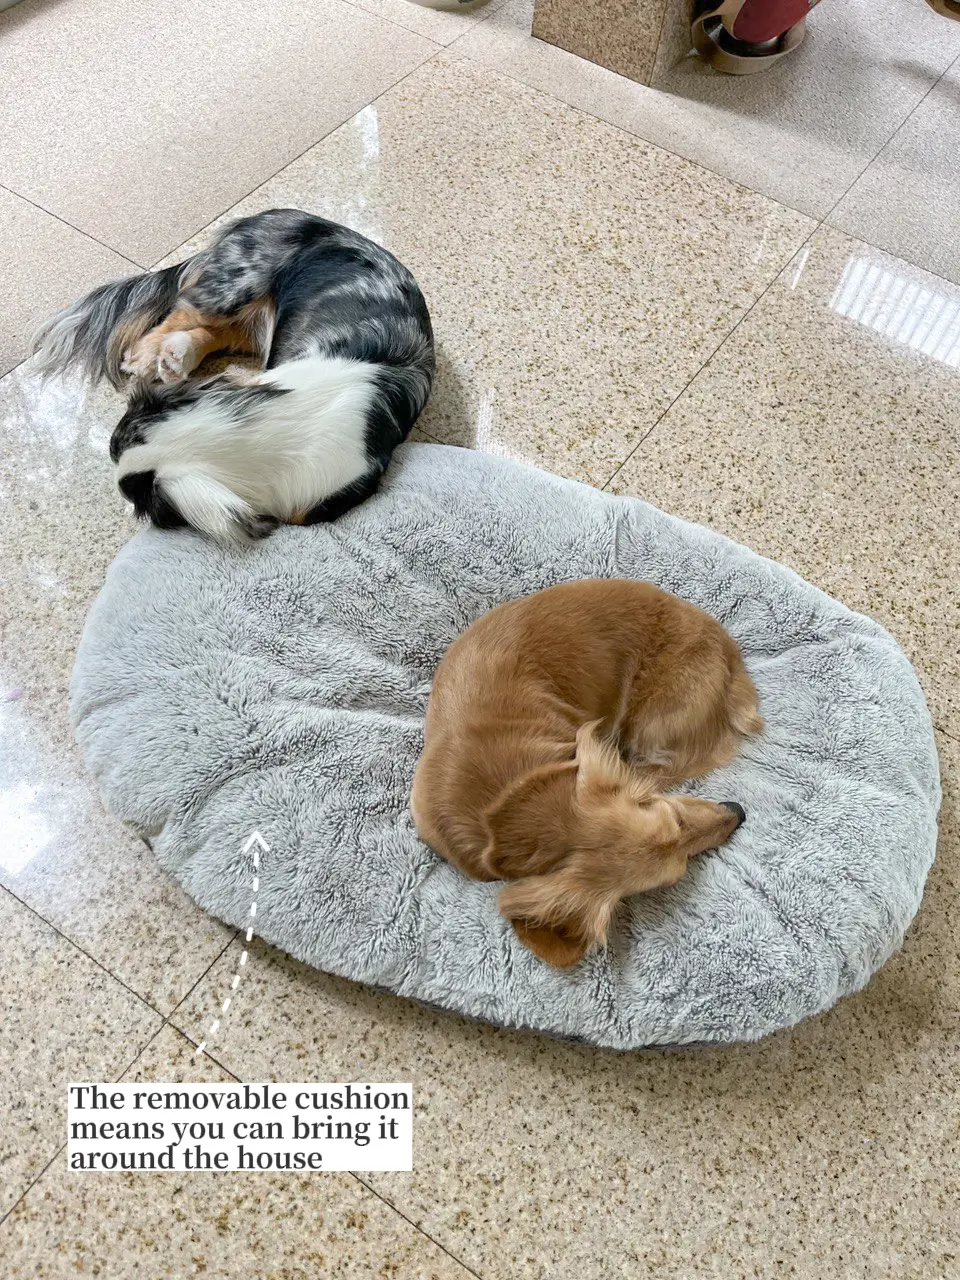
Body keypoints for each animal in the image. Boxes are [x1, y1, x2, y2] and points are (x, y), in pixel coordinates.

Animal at [32, 208, 435, 545]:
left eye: (137, 497)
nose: (120, 496)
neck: (283, 420)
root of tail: (260, 216)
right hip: (232, 288)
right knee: (182, 313)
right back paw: (150, 356)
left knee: (212, 332)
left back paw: (175, 356)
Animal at [414, 576, 768, 962]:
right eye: (676, 873)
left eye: (670, 812)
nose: (738, 812)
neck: (506, 793)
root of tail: (728, 651)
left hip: (653, 727)